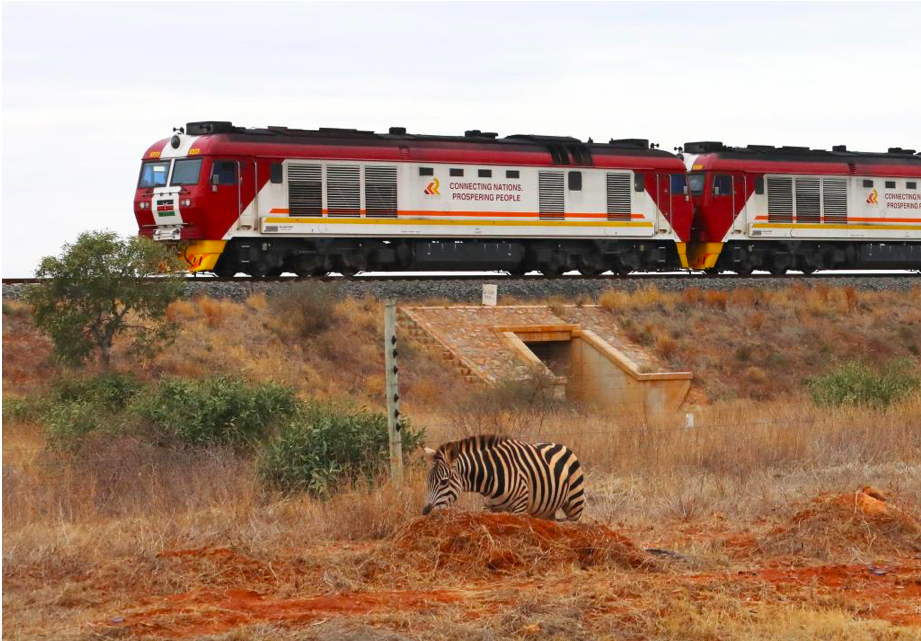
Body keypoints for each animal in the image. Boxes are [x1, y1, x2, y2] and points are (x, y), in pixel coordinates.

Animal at [421, 434, 585, 521]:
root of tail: (561, 445)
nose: (426, 512)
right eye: (428, 481)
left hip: (575, 503)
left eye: (444, 481)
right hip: (547, 510)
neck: (490, 476)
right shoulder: (488, 507)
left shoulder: (520, 506)